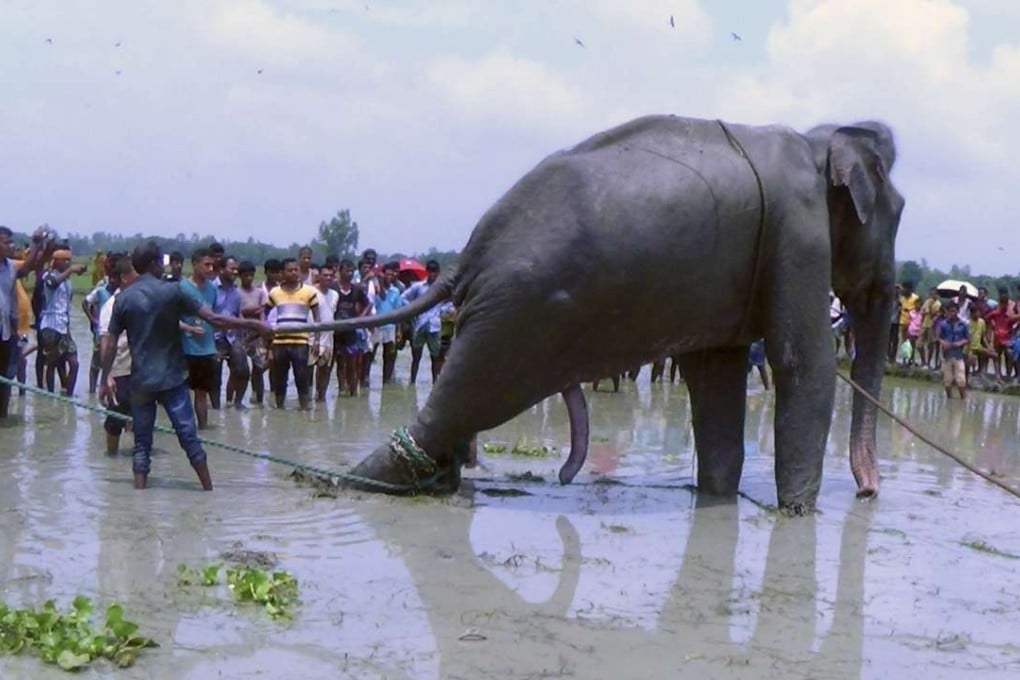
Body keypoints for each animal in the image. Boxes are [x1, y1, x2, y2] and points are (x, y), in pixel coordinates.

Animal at [309, 113, 904, 513]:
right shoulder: (797, 236)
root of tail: (469, 256)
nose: (868, 492)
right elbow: (803, 364)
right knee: (468, 397)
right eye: (898, 213)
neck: (818, 139)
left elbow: (716, 374)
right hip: (522, 314)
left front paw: (717, 499)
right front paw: (799, 515)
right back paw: (354, 484)